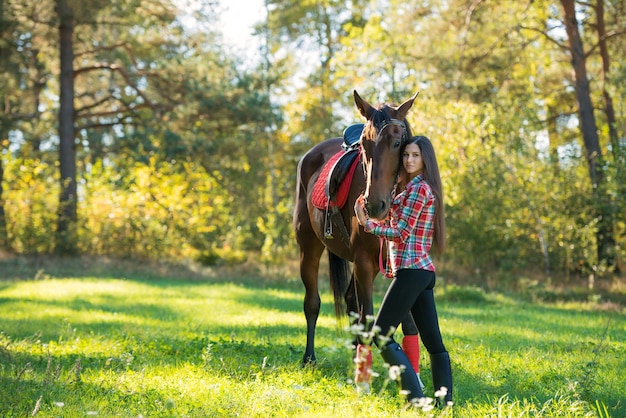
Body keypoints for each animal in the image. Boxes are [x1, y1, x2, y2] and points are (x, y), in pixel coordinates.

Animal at [292, 90, 414, 364]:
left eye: (397, 143)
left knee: (349, 302)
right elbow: (368, 318)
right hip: (309, 247)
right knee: (312, 303)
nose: (374, 205)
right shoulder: (364, 262)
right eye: (364, 145)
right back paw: (309, 358)